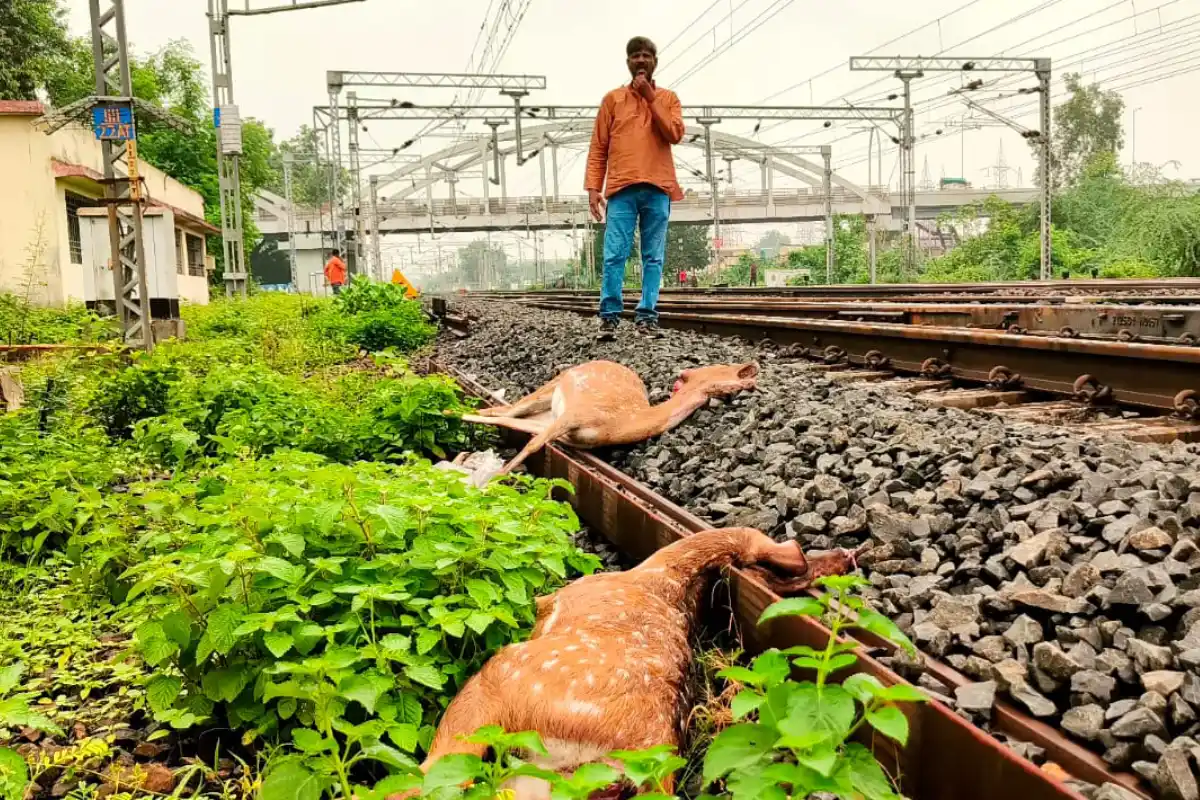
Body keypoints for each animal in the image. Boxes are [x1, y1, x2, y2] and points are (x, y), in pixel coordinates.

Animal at [459, 360, 759, 478]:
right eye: (722, 368)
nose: (752, 368)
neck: (622, 423)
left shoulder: (560, 427)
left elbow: (520, 432)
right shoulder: (576, 413)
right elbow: (532, 445)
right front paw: (486, 485)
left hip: (544, 412)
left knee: (502, 413)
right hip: (552, 387)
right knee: (508, 409)